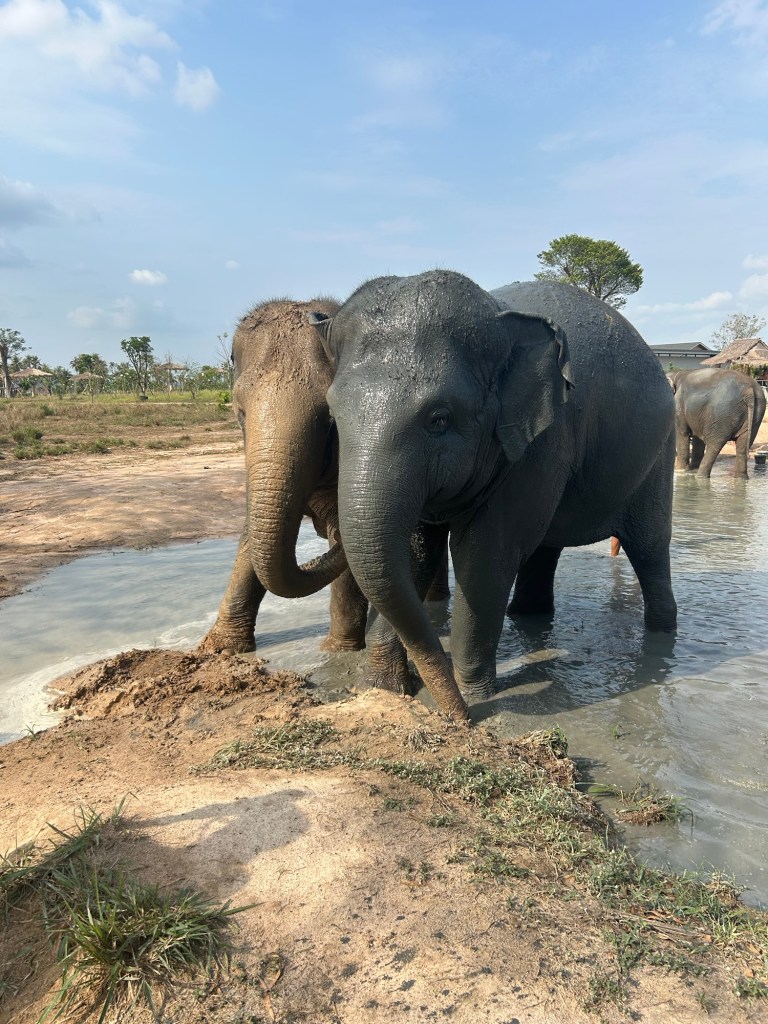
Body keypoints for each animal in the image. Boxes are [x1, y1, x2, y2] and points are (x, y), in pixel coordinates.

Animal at [310, 271, 677, 717]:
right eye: (332, 416)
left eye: (439, 419)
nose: (458, 718)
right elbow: (414, 553)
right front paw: (385, 689)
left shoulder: (541, 443)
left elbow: (485, 558)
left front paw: (476, 698)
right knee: (544, 549)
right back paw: (530, 619)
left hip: (659, 454)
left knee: (649, 548)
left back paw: (662, 639)